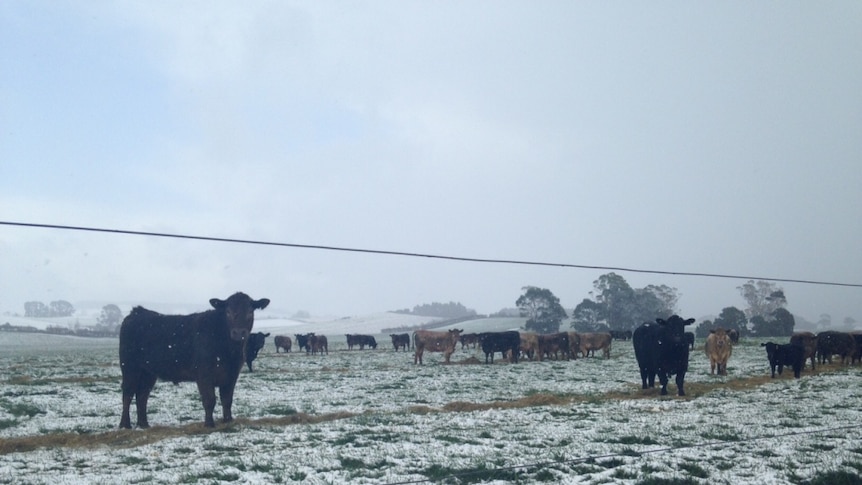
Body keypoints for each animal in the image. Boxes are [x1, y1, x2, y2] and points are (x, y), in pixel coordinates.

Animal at [116, 292, 268, 428]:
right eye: (228, 311)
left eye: (250, 311)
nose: (239, 333)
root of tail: (137, 312)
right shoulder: (204, 374)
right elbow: (209, 400)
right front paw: (209, 424)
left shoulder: (231, 376)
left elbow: (227, 400)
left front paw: (228, 420)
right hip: (129, 367)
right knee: (128, 393)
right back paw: (125, 424)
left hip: (148, 372)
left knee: (142, 394)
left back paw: (144, 424)